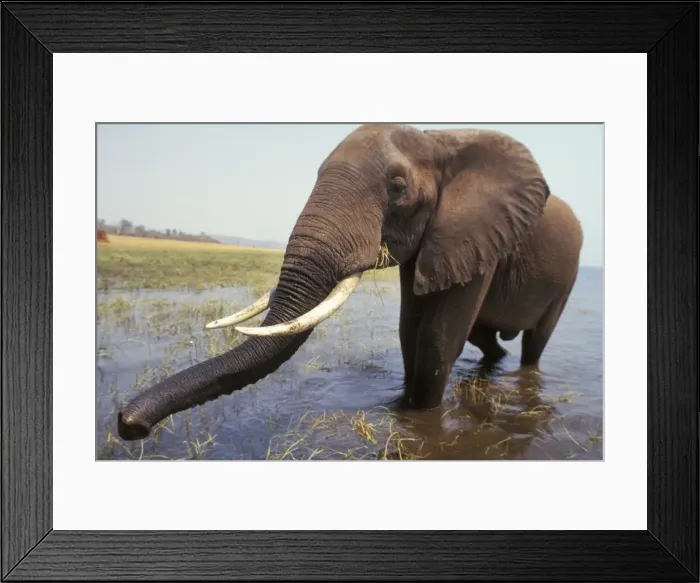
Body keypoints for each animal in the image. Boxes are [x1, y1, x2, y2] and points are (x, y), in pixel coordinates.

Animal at [117, 123, 583, 441]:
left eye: (398, 187)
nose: (128, 425)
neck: (439, 139)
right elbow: (409, 329)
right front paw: (401, 410)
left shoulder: (476, 235)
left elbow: (436, 336)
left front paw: (419, 420)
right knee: (485, 336)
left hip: (568, 276)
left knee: (534, 341)